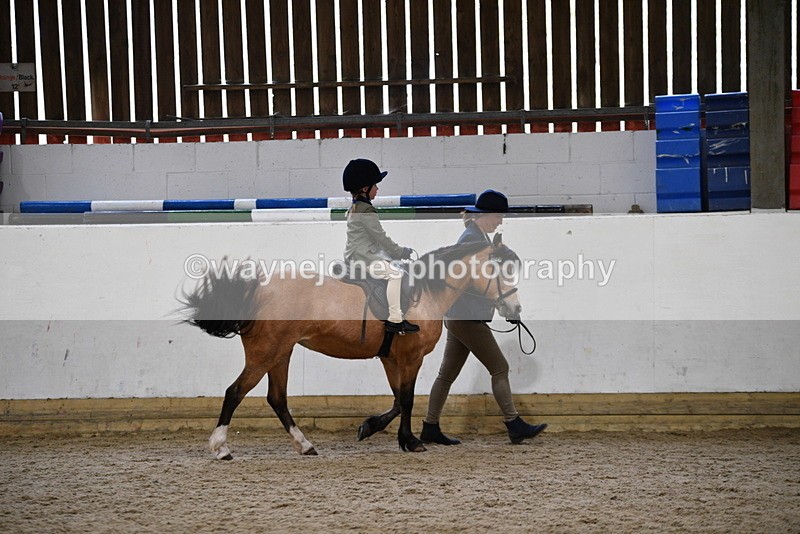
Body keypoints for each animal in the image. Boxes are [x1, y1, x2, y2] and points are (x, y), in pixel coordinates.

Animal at [181, 235, 522, 459]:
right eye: (501, 271)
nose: (514, 310)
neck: (423, 294)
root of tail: (257, 290)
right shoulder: (411, 358)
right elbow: (408, 400)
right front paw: (410, 441)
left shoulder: (390, 359)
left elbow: (397, 401)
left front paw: (369, 427)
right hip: (265, 354)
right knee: (235, 393)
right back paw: (221, 447)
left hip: (281, 354)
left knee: (277, 399)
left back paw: (305, 445)